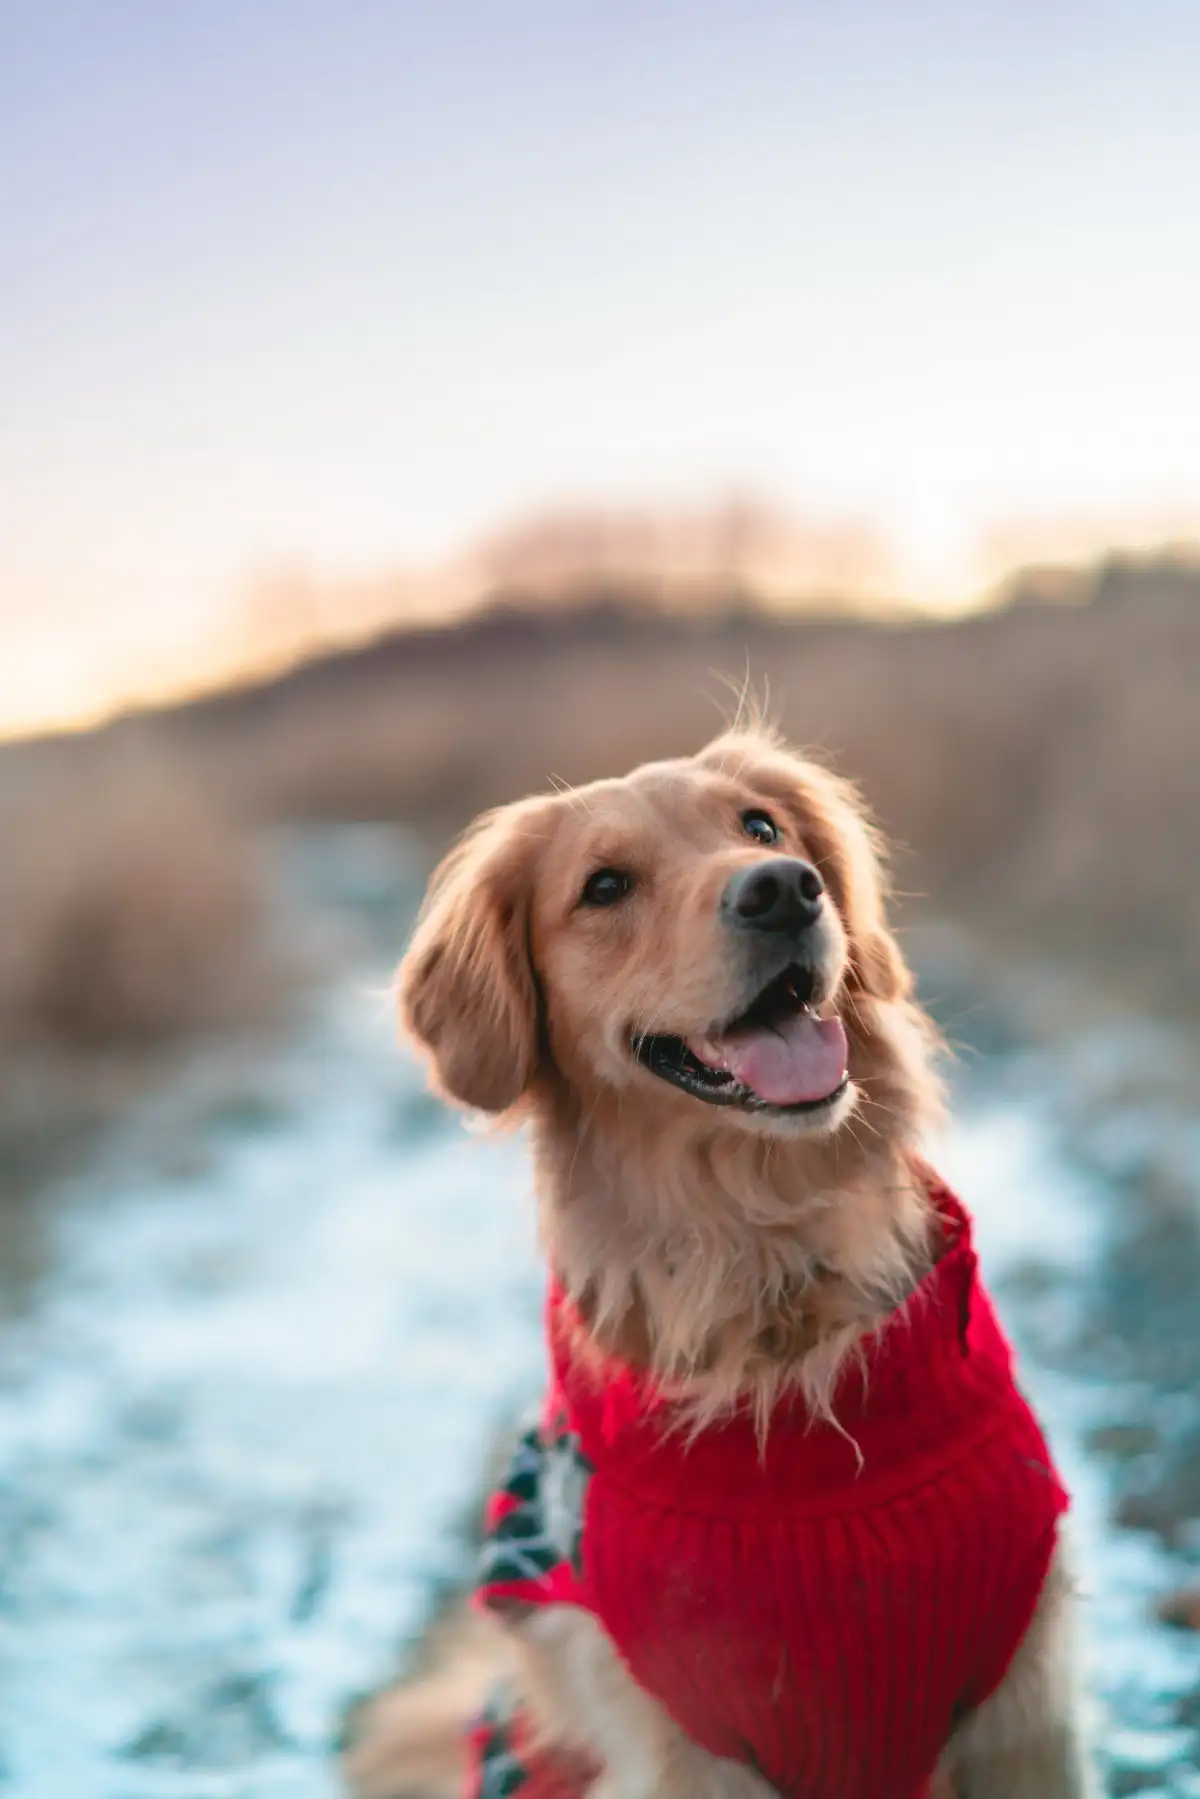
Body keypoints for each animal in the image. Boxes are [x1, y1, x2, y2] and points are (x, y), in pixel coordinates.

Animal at [345, 726, 1101, 1799]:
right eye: (604, 886)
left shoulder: (1026, 1703)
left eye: (761, 826)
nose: (783, 890)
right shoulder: (682, 1743)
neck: (767, 1258)